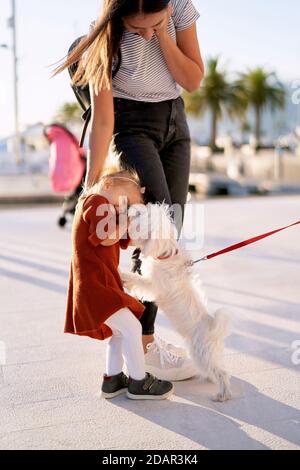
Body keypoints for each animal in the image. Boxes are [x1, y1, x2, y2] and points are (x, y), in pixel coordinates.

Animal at [122, 202, 232, 400]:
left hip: (202, 355)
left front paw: (121, 274)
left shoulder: (152, 286)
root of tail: (214, 328)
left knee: (222, 373)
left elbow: (138, 280)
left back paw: (222, 395)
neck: (164, 254)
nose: (131, 208)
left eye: (141, 215)